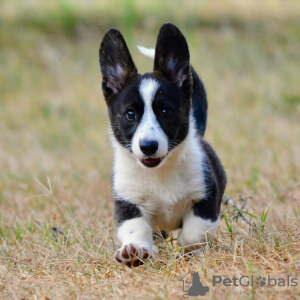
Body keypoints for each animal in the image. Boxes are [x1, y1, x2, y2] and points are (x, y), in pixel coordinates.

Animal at [99, 23, 226, 268]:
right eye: (130, 114)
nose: (148, 146)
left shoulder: (206, 197)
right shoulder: (127, 202)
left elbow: (194, 233)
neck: (159, 173)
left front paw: (188, 251)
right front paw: (135, 251)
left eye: (166, 112)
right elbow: (136, 229)